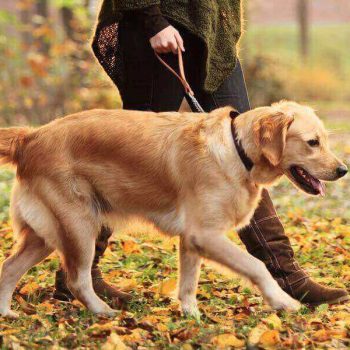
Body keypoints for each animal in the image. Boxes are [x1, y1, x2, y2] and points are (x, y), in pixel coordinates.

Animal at [0, 100, 348, 318]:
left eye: (324, 140)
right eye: (313, 142)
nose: (343, 170)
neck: (237, 150)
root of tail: (32, 136)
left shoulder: (191, 239)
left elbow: (189, 282)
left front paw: (191, 313)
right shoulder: (204, 234)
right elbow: (257, 265)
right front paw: (282, 301)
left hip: (46, 234)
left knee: (9, 268)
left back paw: (6, 314)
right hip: (79, 226)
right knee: (77, 279)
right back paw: (103, 311)